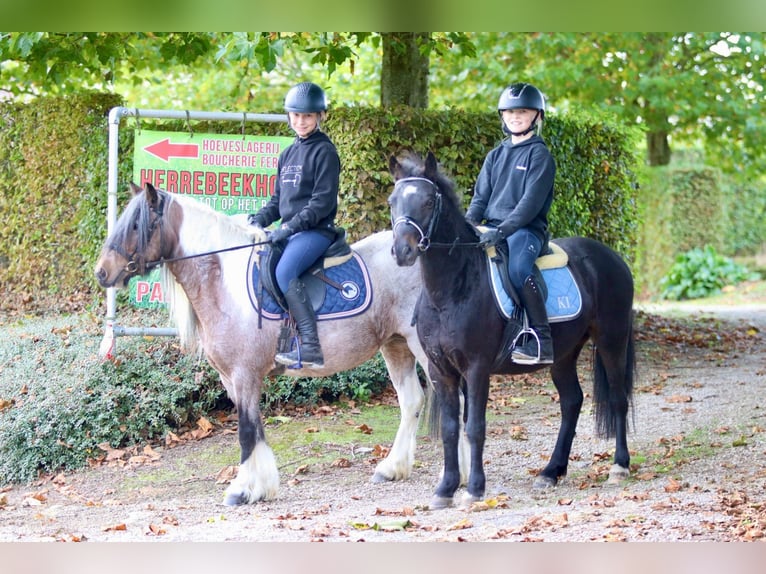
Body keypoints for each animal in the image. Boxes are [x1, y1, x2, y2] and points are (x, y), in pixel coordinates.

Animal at [390, 152, 636, 508]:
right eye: (392, 201)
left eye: (427, 201)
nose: (402, 251)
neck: (452, 289)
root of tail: (613, 258)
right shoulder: (441, 370)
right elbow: (450, 428)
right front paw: (445, 490)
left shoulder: (477, 368)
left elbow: (475, 427)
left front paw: (475, 489)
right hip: (563, 354)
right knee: (571, 401)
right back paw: (551, 472)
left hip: (611, 340)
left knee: (617, 397)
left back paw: (619, 466)